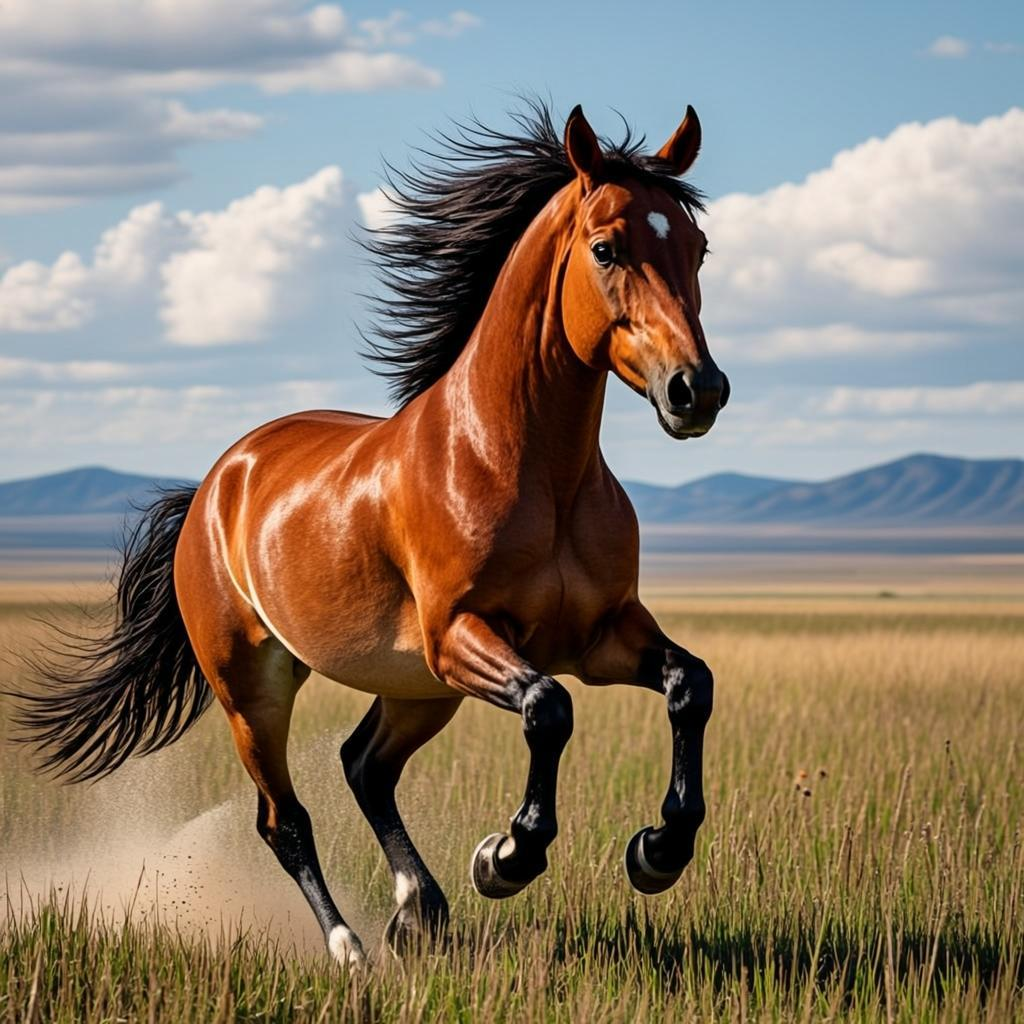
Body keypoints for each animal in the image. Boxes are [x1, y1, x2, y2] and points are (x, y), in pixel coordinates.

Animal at [13, 101, 729, 966]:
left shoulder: (601, 636)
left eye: (697, 247)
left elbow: (690, 685)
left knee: (364, 767)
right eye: (606, 248)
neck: (524, 465)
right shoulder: (461, 636)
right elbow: (548, 708)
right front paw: (507, 857)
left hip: (414, 689)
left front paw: (658, 850)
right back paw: (350, 946)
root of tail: (216, 483)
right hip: (259, 689)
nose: (697, 390)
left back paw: (418, 908)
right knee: (285, 820)